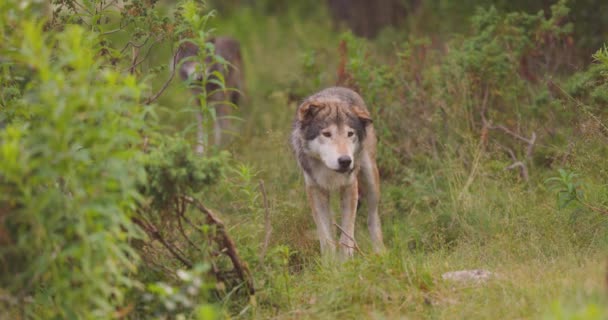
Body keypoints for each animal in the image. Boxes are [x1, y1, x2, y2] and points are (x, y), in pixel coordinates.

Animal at [290, 85, 384, 258]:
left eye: (350, 134)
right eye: (327, 134)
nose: (345, 161)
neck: (329, 172)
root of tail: (340, 87)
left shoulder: (350, 187)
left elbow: (346, 234)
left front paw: (346, 261)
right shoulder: (315, 190)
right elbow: (326, 237)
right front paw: (330, 263)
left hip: (371, 182)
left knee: (372, 217)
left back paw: (380, 252)